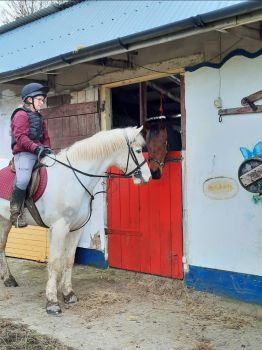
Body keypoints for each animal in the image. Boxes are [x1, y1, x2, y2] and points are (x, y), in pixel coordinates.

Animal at [0, 126, 150, 314]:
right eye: (138, 151)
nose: (148, 177)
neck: (71, 179)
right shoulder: (58, 228)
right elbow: (55, 262)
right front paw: (52, 301)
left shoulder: (76, 228)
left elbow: (69, 260)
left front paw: (68, 294)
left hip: (5, 220)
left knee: (1, 246)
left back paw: (8, 279)